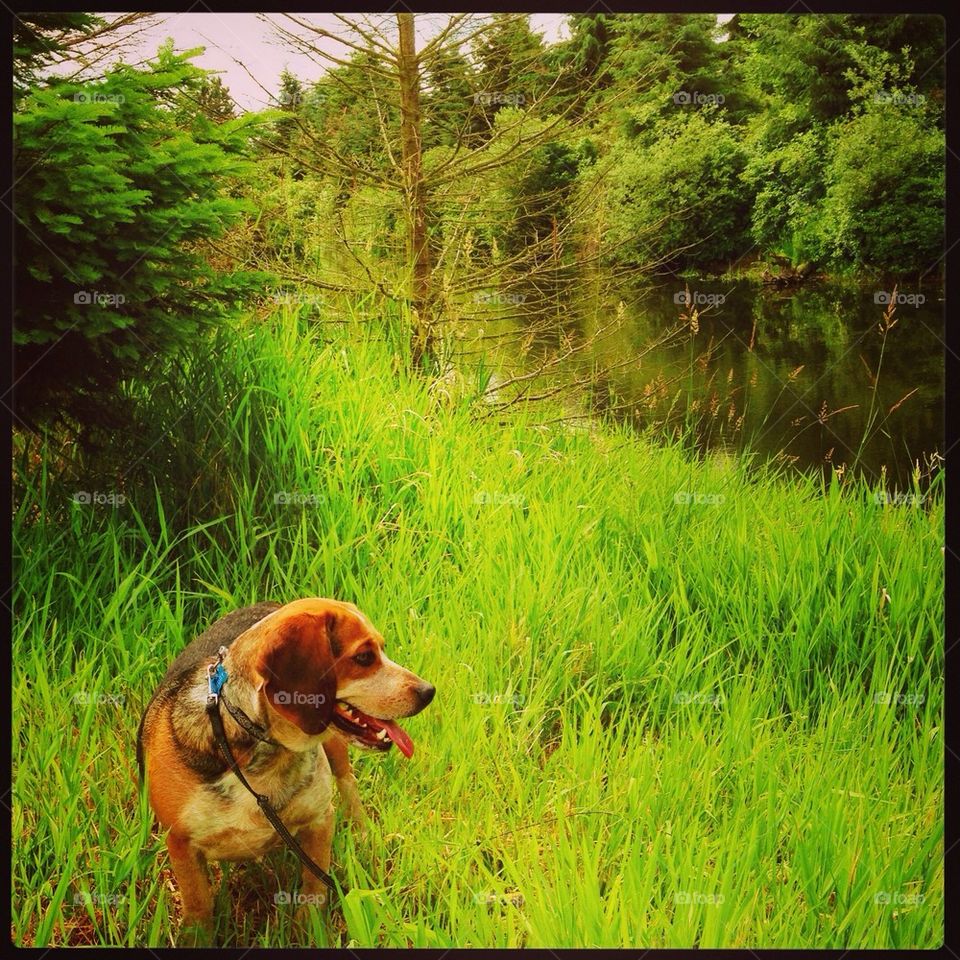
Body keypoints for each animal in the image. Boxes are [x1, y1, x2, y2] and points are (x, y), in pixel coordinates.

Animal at [135, 600, 436, 944]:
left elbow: (314, 889)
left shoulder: (320, 819)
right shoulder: (181, 843)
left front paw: (309, 932)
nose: (429, 692)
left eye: (382, 650)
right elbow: (199, 906)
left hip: (336, 748)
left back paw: (362, 830)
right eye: (364, 657)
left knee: (347, 781)